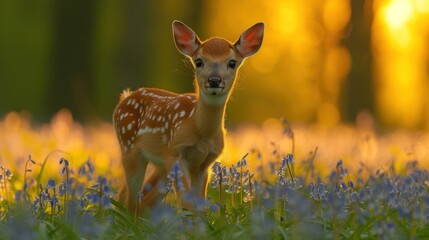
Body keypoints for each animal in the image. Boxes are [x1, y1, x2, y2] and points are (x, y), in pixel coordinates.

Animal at [113, 19, 260, 213]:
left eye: (232, 62)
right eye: (198, 61)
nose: (214, 80)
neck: (201, 131)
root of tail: (124, 98)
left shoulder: (204, 163)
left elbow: (198, 204)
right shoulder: (176, 152)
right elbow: (187, 202)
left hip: (159, 164)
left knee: (133, 196)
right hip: (129, 147)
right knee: (132, 199)